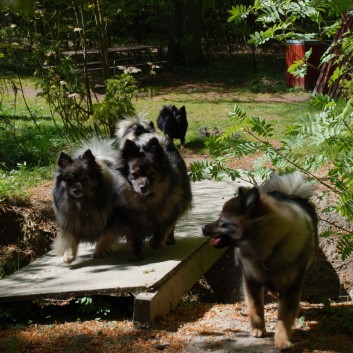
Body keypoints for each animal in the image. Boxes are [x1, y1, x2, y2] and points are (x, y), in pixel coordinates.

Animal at [199, 172, 318, 348]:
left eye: (222, 221)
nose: (203, 228)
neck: (269, 249)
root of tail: (288, 193)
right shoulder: (251, 279)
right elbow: (256, 307)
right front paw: (258, 329)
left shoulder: (291, 286)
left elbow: (284, 318)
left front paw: (282, 341)